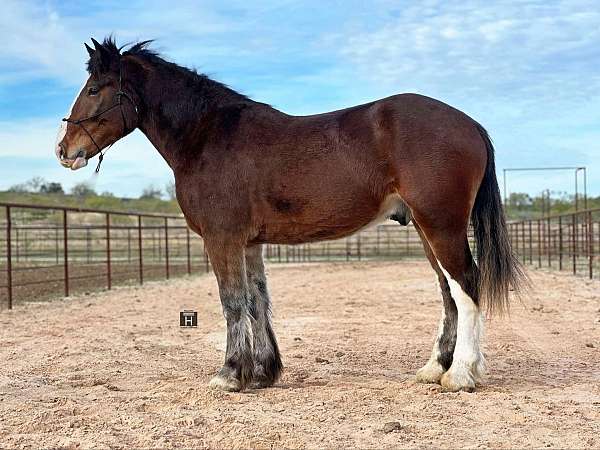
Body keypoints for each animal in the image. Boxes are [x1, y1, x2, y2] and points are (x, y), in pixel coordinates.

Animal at [57, 37, 524, 390]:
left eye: (95, 88)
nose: (64, 150)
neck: (207, 136)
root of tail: (469, 124)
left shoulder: (221, 239)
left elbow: (232, 302)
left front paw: (229, 375)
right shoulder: (249, 243)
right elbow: (256, 301)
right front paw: (263, 372)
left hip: (441, 226)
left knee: (466, 285)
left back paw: (461, 375)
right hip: (428, 230)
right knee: (449, 292)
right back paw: (434, 369)